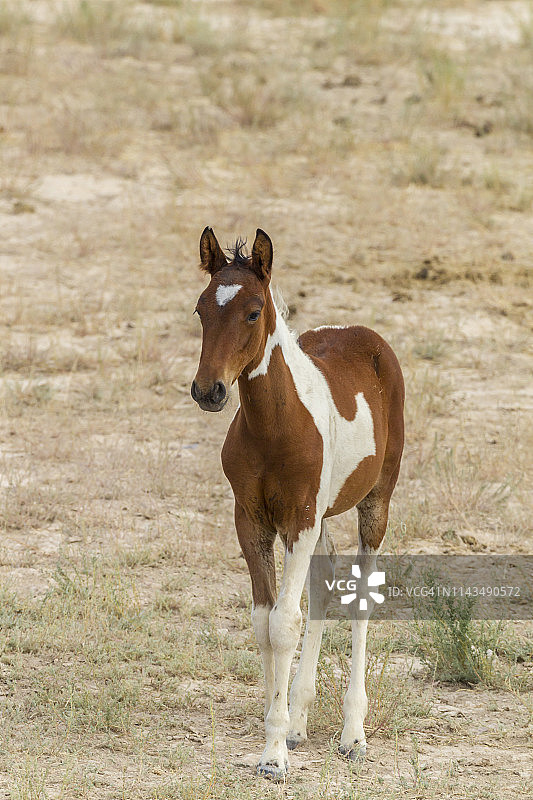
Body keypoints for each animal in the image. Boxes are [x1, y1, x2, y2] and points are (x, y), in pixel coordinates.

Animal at [191, 227, 404, 780]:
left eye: (252, 312)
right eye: (200, 309)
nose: (208, 390)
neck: (274, 427)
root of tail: (363, 334)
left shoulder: (299, 521)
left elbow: (285, 624)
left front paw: (273, 757)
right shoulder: (252, 521)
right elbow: (264, 623)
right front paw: (280, 731)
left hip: (376, 502)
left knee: (362, 598)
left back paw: (353, 734)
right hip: (324, 516)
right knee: (325, 586)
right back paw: (301, 721)